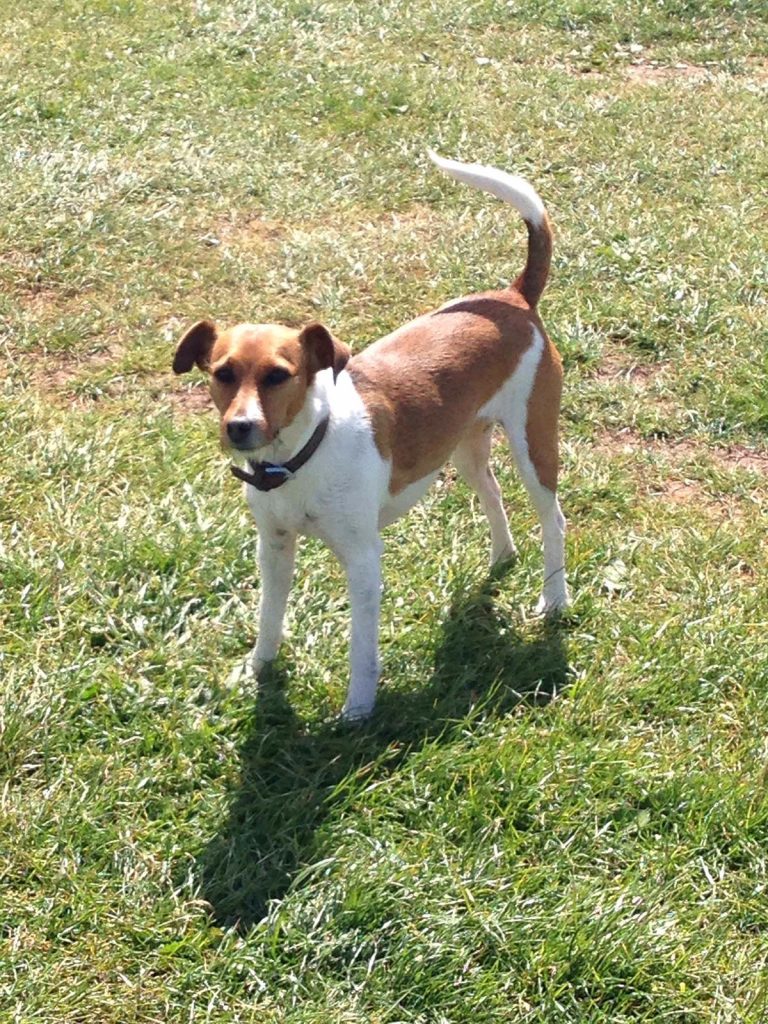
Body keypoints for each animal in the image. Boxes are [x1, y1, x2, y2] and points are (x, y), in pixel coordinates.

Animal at [176, 151, 573, 720]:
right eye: (221, 373)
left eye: (278, 375)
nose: (239, 426)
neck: (299, 458)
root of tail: (515, 298)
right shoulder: (273, 548)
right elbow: (269, 619)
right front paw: (258, 671)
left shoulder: (363, 562)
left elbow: (362, 648)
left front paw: (358, 712)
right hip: (464, 449)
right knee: (493, 494)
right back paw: (502, 557)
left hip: (533, 443)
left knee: (553, 519)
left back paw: (554, 600)